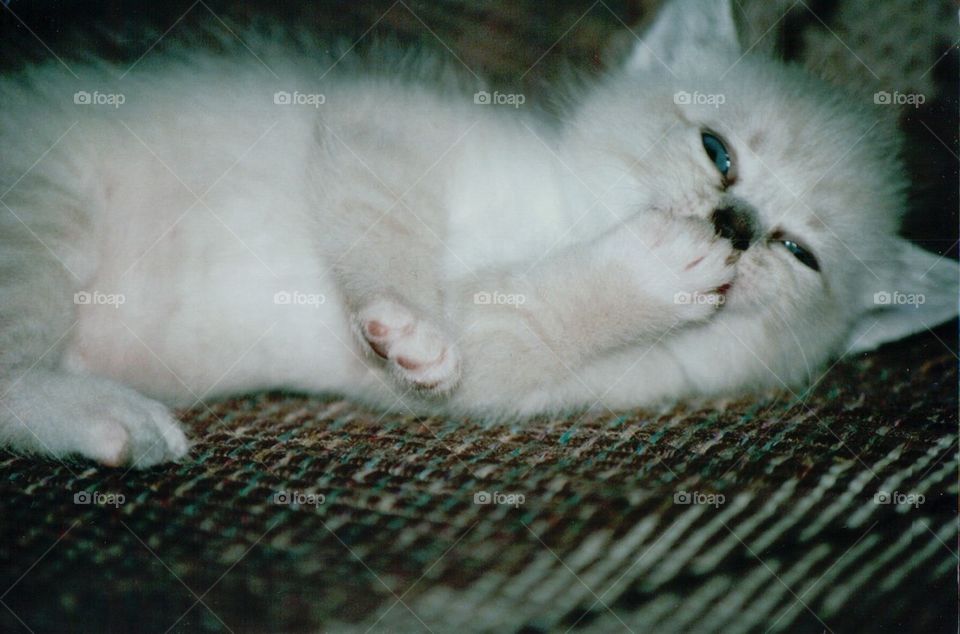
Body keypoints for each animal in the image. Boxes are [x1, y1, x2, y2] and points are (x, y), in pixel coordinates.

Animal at [0, 0, 956, 464]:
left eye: (799, 252)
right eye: (717, 151)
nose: (737, 224)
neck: (557, 222)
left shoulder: (535, 379)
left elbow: (524, 320)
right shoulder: (376, 121)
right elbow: (386, 226)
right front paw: (411, 324)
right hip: (43, 215)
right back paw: (114, 417)